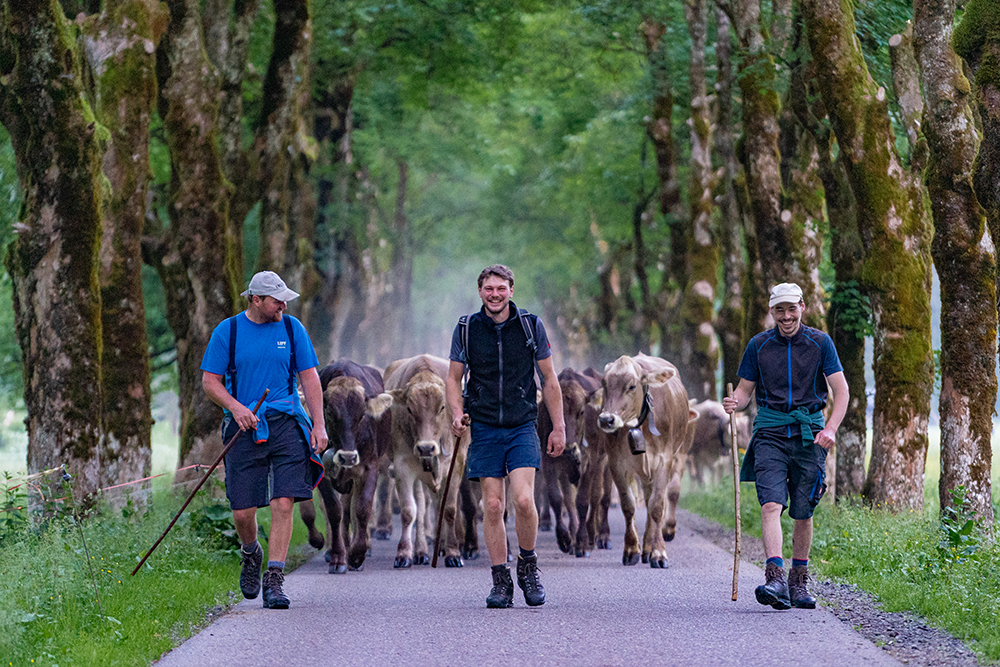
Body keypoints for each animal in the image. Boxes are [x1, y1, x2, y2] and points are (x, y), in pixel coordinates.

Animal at [386, 354, 472, 568]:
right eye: (409, 409)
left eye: (442, 407)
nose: (426, 448)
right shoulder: (403, 467)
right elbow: (409, 511)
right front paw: (403, 554)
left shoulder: (456, 465)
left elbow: (449, 509)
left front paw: (453, 553)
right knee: (423, 508)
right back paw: (422, 551)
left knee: (438, 504)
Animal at [592, 354, 696, 568]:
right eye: (604, 383)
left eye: (632, 386)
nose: (607, 420)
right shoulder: (617, 464)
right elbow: (628, 505)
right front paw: (632, 549)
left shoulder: (664, 461)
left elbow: (656, 506)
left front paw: (658, 553)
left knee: (652, 502)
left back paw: (650, 547)